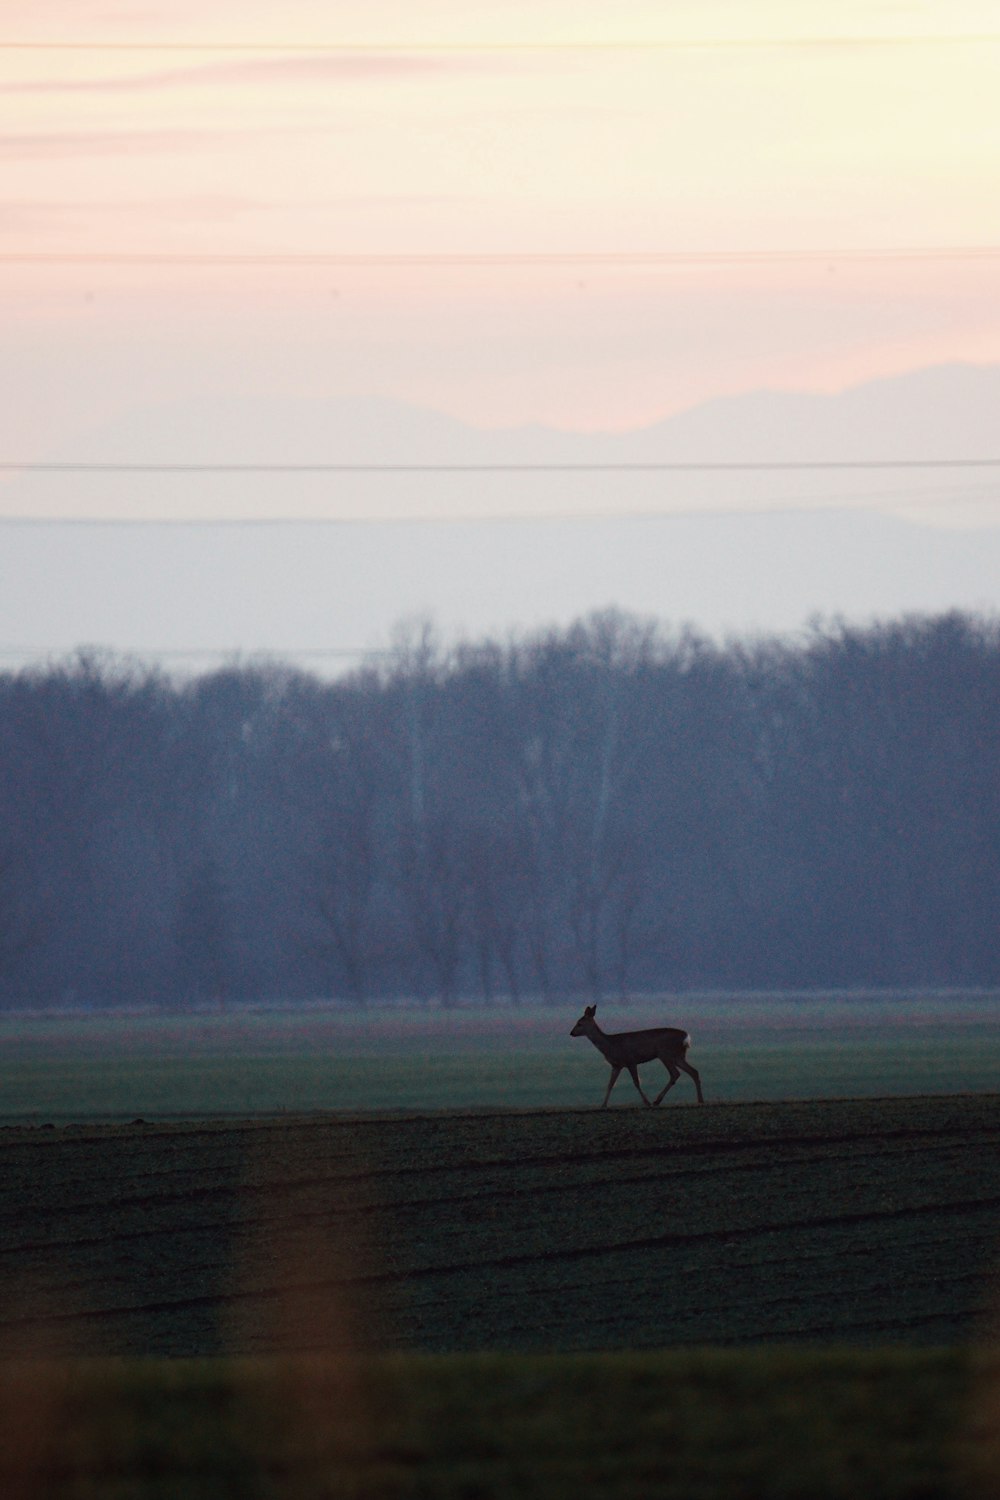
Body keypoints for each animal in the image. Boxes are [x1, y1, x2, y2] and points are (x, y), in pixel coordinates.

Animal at [569, 1002, 704, 1110]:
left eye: (579, 1023)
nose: (571, 1033)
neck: (610, 1045)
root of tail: (686, 1037)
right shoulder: (616, 1065)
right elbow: (610, 1084)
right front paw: (603, 1105)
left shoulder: (630, 1060)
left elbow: (636, 1082)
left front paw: (646, 1102)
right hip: (678, 1056)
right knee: (693, 1071)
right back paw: (700, 1100)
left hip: (665, 1054)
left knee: (675, 1074)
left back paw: (657, 1101)